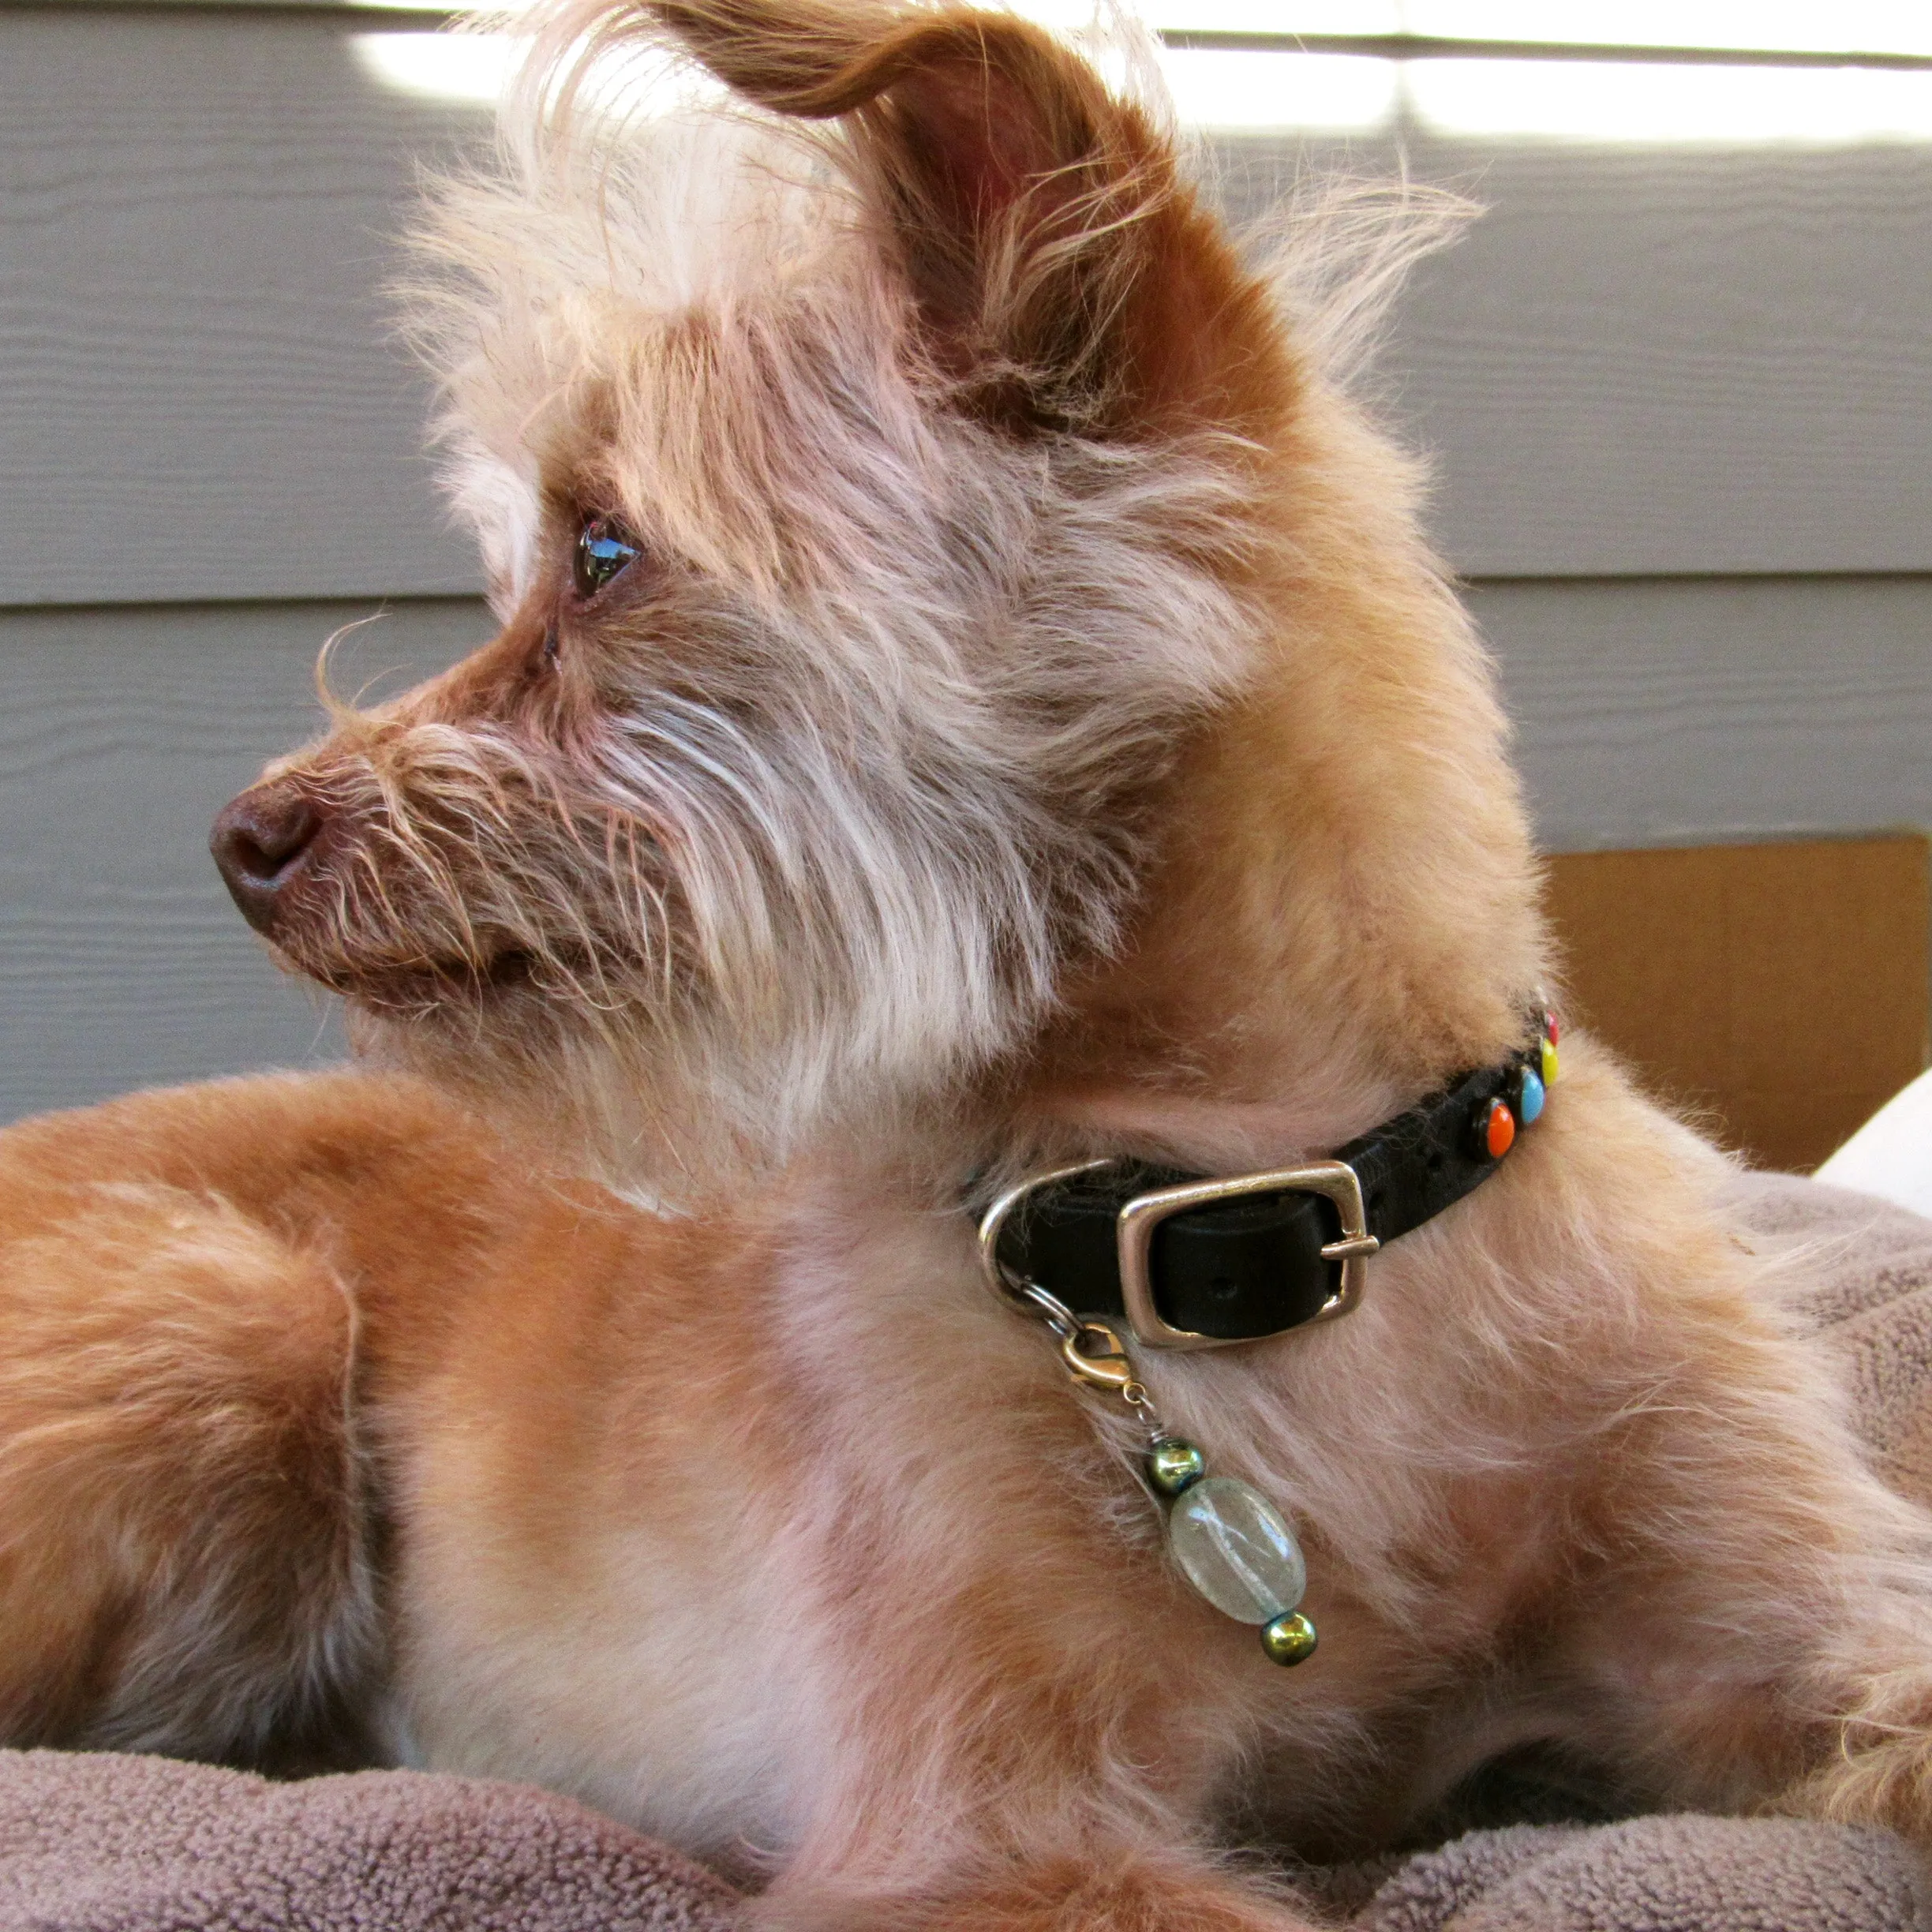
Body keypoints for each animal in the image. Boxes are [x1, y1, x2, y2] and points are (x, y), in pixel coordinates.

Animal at [3, 7, 1932, 1924]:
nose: (238, 840)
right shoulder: (983, 1832)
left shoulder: (1796, 1632)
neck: (1270, 1234)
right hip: (233, 1324)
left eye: (603, 552)